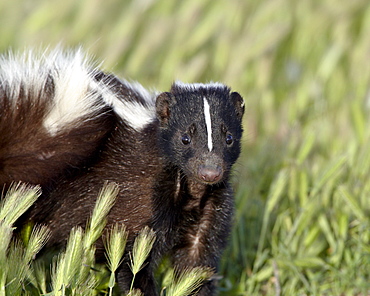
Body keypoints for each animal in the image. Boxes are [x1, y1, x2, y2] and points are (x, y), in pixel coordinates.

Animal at [0, 49, 244, 294]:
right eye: (185, 138)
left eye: (229, 138)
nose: (209, 172)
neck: (192, 190)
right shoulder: (138, 201)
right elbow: (133, 265)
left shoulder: (211, 208)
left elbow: (196, 265)